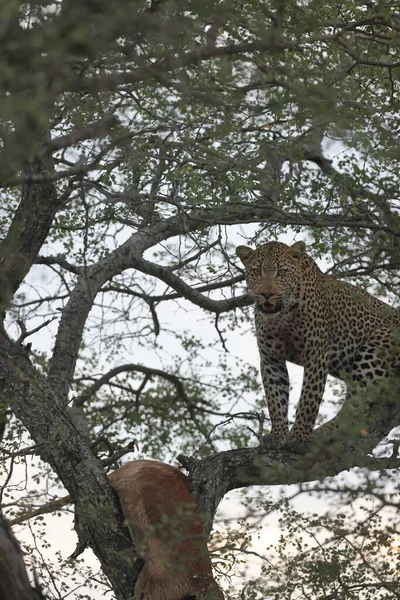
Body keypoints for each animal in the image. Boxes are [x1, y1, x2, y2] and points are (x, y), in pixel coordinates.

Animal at [236, 239, 398, 450]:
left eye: (282, 272)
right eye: (257, 271)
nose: (267, 294)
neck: (283, 314)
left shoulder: (316, 353)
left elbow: (309, 398)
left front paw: (299, 437)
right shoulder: (270, 357)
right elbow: (275, 398)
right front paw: (278, 434)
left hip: (376, 345)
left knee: (356, 405)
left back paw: (324, 432)